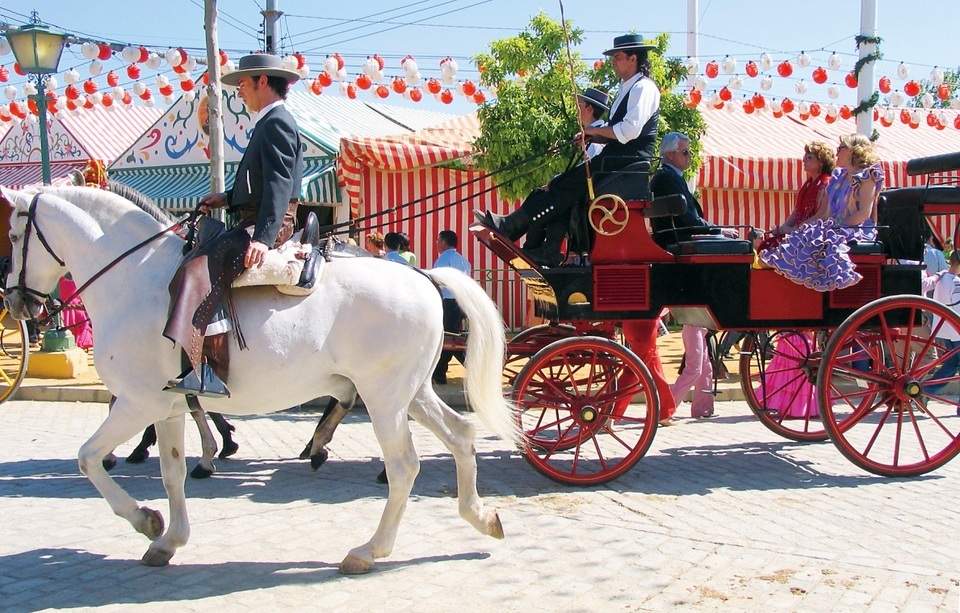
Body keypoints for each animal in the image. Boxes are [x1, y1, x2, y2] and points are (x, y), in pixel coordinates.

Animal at [1, 186, 516, 572]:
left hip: (385, 398)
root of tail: (422, 275)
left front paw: (145, 520)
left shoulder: (136, 402)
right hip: (412, 392)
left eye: (13, 232)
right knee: (461, 435)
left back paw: (368, 550)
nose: (16, 303)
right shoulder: (166, 406)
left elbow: (87, 458)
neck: (136, 280)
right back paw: (479, 515)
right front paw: (169, 537)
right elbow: (171, 474)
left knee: (404, 466)